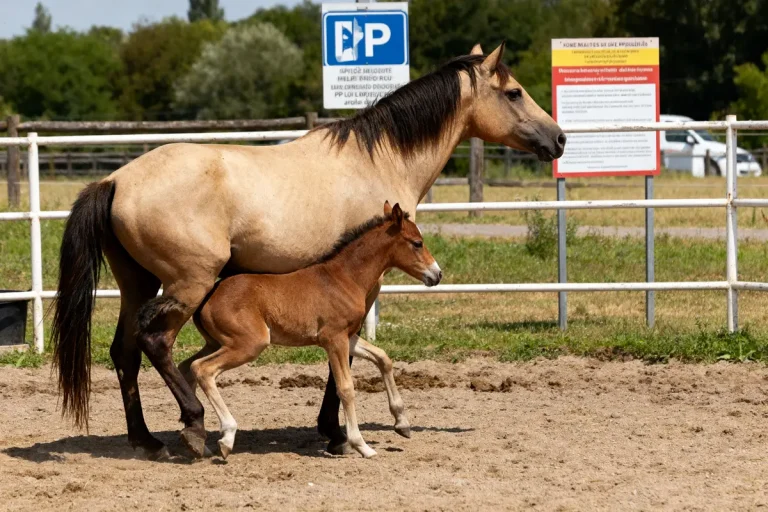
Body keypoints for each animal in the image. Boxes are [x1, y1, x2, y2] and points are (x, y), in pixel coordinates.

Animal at [191, 201, 439, 459]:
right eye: (417, 243)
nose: (437, 274)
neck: (344, 278)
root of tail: (208, 297)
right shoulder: (334, 339)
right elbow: (346, 388)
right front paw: (361, 445)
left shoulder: (347, 337)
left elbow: (383, 358)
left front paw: (402, 423)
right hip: (249, 344)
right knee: (202, 369)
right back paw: (226, 437)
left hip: (216, 343)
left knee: (187, 367)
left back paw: (199, 441)